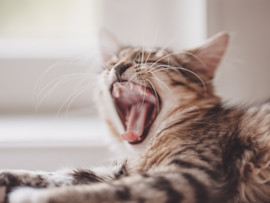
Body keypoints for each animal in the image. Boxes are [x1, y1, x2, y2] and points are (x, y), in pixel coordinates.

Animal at [0, 30, 270, 203]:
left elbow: (108, 192)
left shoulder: (189, 174)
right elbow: (63, 175)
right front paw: (8, 178)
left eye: (153, 60)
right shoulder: (121, 170)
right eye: (112, 62)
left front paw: (30, 196)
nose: (119, 67)